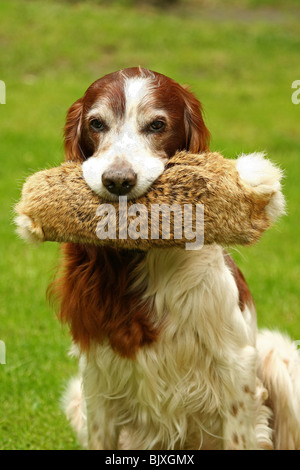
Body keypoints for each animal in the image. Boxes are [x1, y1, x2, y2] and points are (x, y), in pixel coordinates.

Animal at [51, 66, 300, 448]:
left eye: (157, 125)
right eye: (96, 123)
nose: (117, 181)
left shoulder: (237, 379)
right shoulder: (97, 383)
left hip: (279, 358)